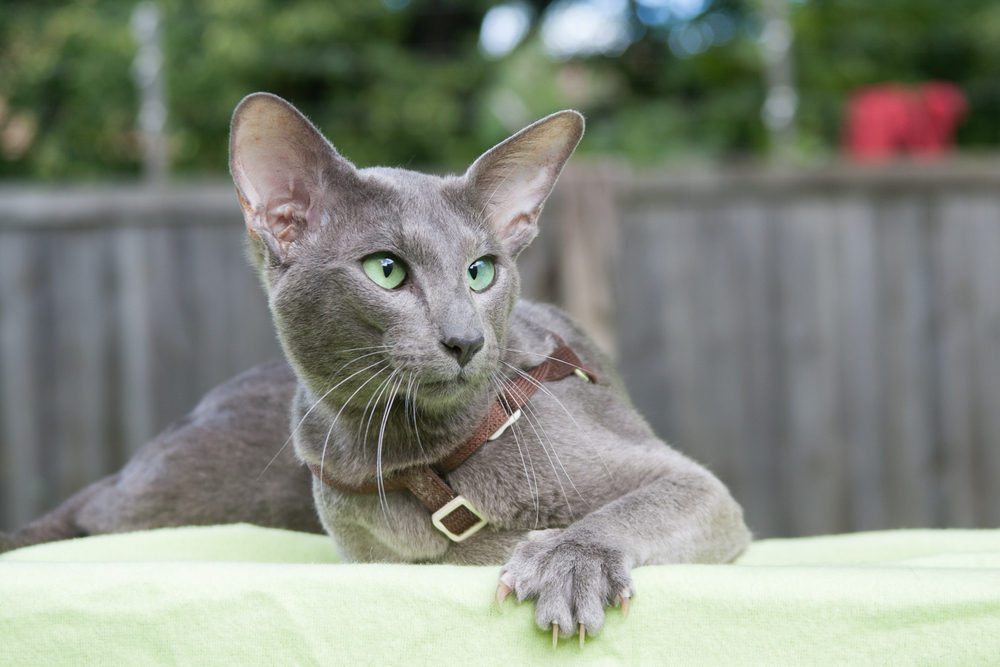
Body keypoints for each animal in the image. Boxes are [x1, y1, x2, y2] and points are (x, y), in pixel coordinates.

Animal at [1, 94, 752, 648]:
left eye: (482, 271)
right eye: (386, 270)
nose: (465, 339)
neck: (409, 454)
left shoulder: (693, 485)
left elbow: (619, 509)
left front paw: (569, 564)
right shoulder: (373, 556)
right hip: (166, 498)